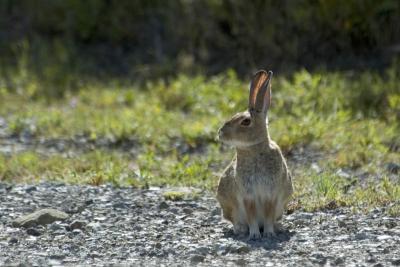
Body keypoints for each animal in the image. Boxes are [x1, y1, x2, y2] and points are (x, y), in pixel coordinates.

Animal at [216, 69, 294, 241]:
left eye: (246, 121)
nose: (220, 133)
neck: (254, 149)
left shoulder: (271, 192)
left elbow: (269, 214)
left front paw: (269, 233)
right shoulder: (247, 194)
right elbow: (251, 215)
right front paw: (254, 235)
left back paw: (278, 227)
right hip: (229, 206)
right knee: (235, 219)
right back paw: (240, 230)